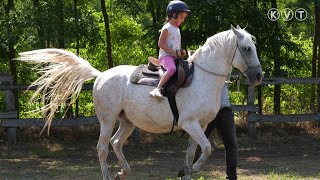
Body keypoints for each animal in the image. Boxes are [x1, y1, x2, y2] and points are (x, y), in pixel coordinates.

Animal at [16, 25, 262, 180]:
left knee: (116, 143)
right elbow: (208, 149)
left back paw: (122, 173)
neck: (202, 77)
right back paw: (109, 176)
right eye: (246, 48)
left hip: (127, 122)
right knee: (102, 148)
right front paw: (192, 168)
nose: (258, 76)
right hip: (107, 120)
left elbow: (194, 152)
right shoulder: (189, 124)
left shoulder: (199, 126)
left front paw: (186, 171)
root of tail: (101, 75)